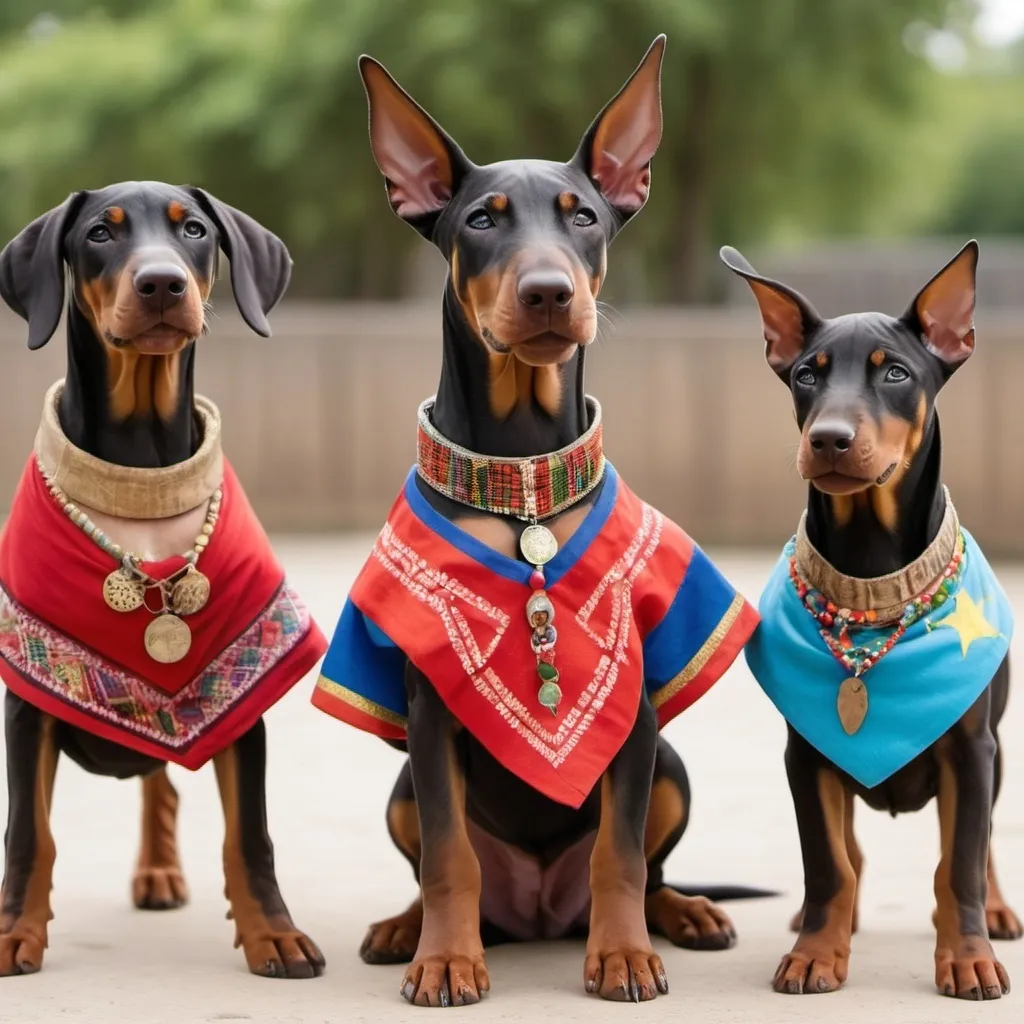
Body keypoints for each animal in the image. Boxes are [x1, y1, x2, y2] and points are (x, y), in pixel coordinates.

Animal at [0, 182, 321, 974]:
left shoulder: (240, 688)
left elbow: (251, 836)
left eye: (195, 230)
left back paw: (158, 873)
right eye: (99, 234)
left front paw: (273, 933)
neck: (140, 473)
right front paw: (15, 933)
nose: (162, 283)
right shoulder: (27, 702)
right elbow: (29, 833)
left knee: (160, 786)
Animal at [350, 34, 770, 1007]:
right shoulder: (429, 711)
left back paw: (680, 915)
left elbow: (619, 854)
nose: (548, 292)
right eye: (481, 220)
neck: (524, 486)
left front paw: (621, 956)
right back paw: (408, 929)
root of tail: (539, 912)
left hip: (671, 767)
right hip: (400, 786)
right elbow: (450, 857)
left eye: (584, 218)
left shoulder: (634, 707)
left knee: (649, 871)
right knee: (441, 861)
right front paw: (446, 959)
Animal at [724, 241, 1019, 999]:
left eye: (895, 372)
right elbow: (829, 862)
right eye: (806, 373)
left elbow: (960, 862)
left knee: (976, 847)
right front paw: (816, 952)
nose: (828, 439)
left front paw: (967, 956)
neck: (871, 573)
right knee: (848, 852)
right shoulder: (805, 754)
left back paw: (997, 912)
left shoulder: (971, 751)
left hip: (995, 751)